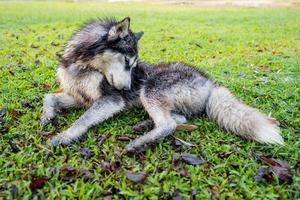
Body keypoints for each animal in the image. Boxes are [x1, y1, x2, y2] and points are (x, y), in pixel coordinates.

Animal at [41, 17, 284, 152]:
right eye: (127, 61)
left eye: (133, 65)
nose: (127, 89)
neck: (83, 67)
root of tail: (209, 82)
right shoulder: (81, 97)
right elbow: (49, 96)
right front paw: (47, 115)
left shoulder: (111, 100)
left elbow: (83, 120)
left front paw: (66, 135)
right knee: (178, 119)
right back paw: (145, 125)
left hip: (150, 89)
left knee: (169, 125)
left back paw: (140, 143)